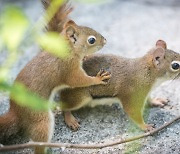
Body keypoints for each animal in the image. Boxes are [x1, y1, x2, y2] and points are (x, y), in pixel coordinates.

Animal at [0, 0, 110, 153]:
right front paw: (98, 78)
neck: (66, 49)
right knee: (39, 141)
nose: (105, 40)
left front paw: (86, 57)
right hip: (40, 118)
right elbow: (79, 80)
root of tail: (16, 112)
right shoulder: (69, 69)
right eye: (91, 40)